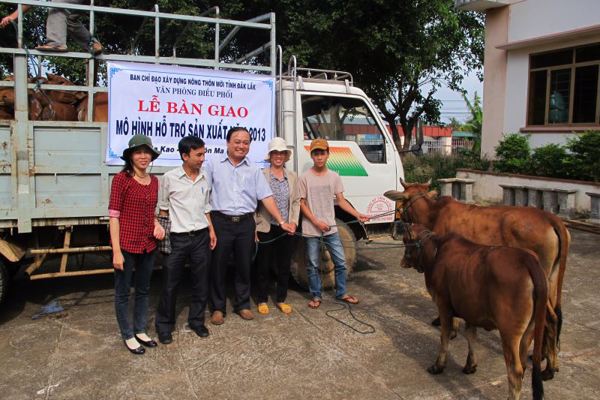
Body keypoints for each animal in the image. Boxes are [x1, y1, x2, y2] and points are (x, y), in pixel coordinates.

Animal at [386, 180, 568, 380]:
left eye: (402, 200)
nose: (397, 221)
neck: (434, 213)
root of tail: (551, 219)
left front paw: (451, 329)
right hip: (550, 280)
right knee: (552, 317)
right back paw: (545, 358)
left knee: (550, 319)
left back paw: (548, 367)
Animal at [404, 225, 548, 400]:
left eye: (405, 240)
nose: (403, 261)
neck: (436, 251)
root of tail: (527, 260)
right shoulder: (470, 311)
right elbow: (471, 336)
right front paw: (470, 365)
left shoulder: (443, 305)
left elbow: (444, 336)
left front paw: (438, 366)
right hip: (529, 331)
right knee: (523, 365)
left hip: (509, 333)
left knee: (515, 371)